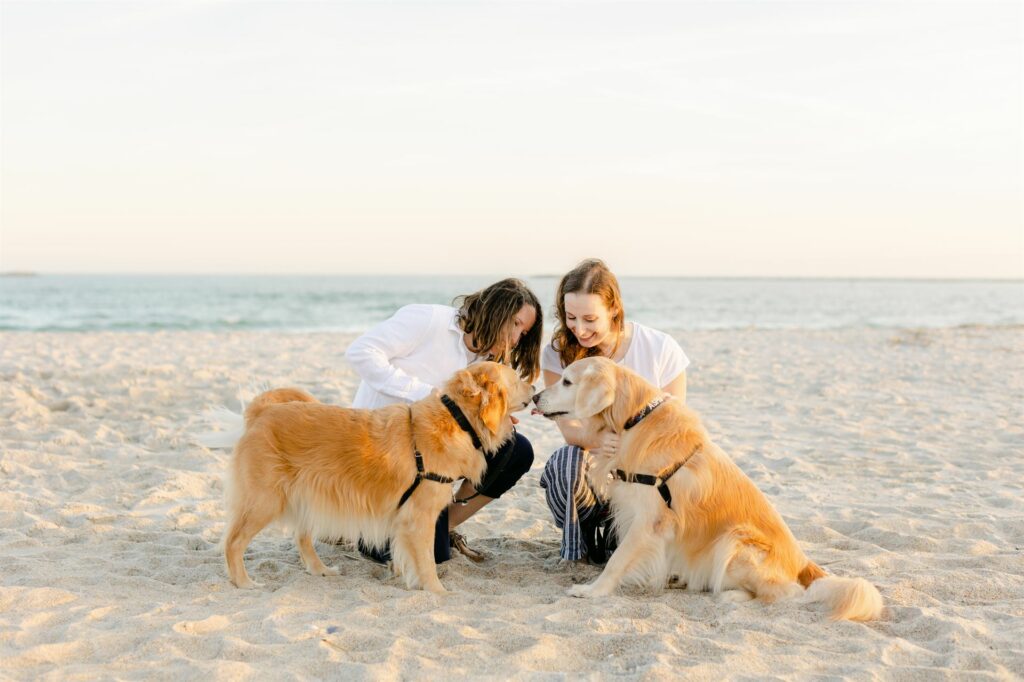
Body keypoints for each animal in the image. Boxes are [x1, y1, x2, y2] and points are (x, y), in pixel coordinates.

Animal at [220, 360, 532, 589]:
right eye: (517, 379)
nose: (536, 388)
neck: (458, 419)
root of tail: (262, 412)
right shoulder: (419, 518)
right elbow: (427, 563)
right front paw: (437, 593)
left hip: (308, 495)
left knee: (301, 538)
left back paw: (320, 570)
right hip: (265, 501)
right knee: (233, 542)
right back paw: (244, 582)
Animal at [536, 356, 880, 622]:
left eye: (567, 382)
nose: (537, 396)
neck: (633, 420)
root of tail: (803, 562)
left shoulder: (650, 519)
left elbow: (618, 559)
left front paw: (593, 591)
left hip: (735, 542)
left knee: (788, 592)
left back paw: (731, 595)